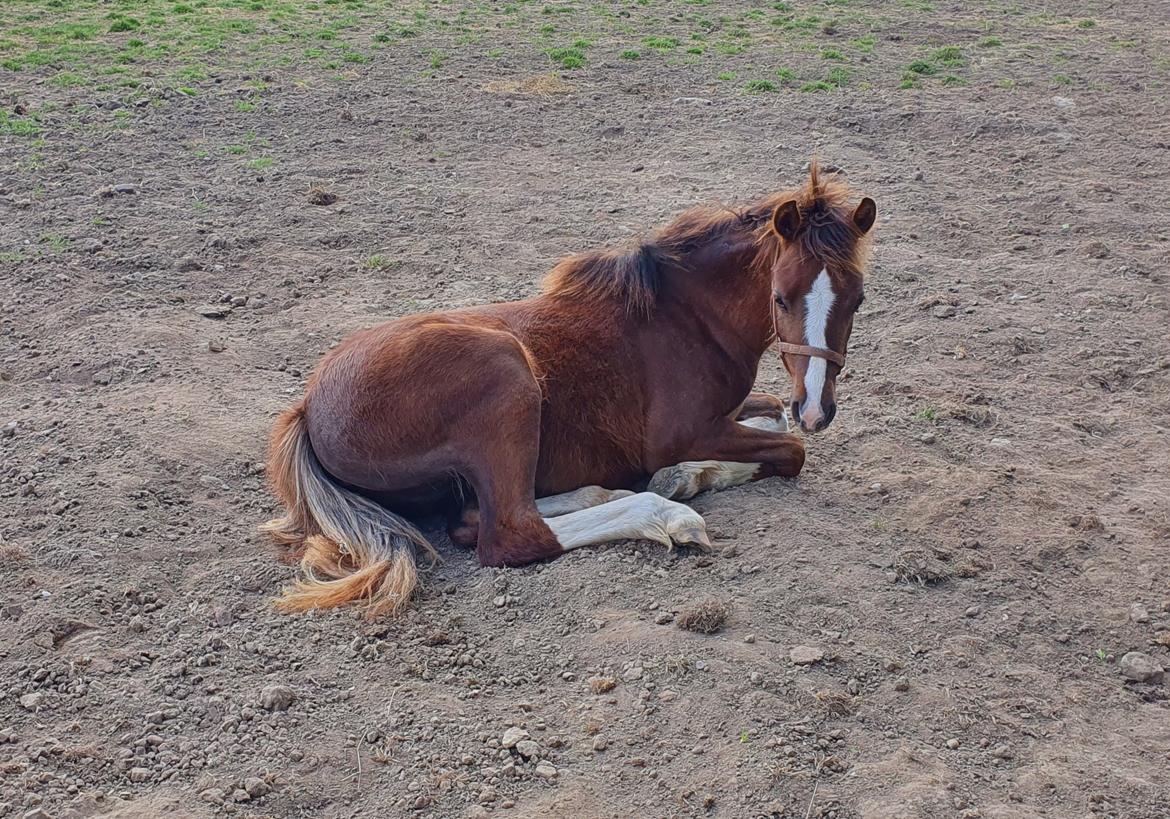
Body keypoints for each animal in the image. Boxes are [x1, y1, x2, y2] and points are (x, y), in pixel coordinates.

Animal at [262, 164, 876, 617]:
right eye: (779, 297)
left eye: (859, 298)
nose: (817, 409)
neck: (687, 317)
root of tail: (307, 410)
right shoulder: (681, 432)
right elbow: (789, 451)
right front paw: (682, 479)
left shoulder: (738, 409)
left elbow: (772, 414)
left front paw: (690, 474)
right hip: (507, 377)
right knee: (511, 532)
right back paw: (662, 514)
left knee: (474, 516)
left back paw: (603, 493)